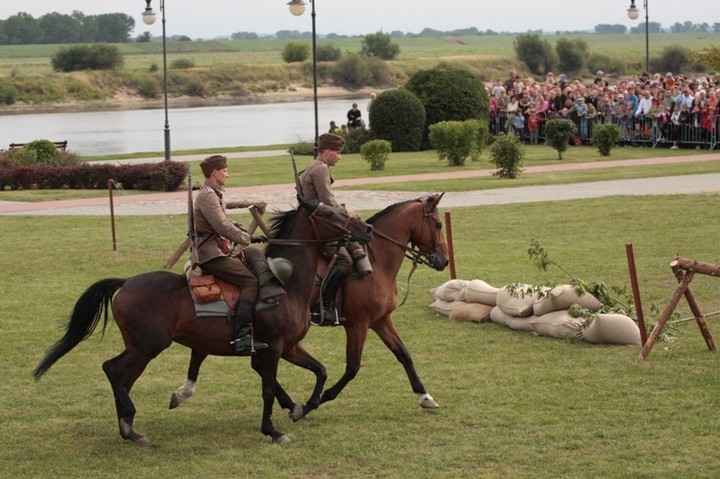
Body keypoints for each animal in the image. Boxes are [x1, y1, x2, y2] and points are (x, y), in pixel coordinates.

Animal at [33, 199, 372, 446]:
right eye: (330, 212)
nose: (367, 229)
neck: (286, 284)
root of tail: (127, 282)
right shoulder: (274, 347)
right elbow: (267, 389)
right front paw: (273, 430)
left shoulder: (288, 346)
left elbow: (320, 371)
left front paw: (304, 406)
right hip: (147, 346)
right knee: (112, 370)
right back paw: (129, 424)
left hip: (141, 349)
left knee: (122, 379)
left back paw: (129, 429)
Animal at [169, 194, 450, 420]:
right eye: (438, 224)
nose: (444, 260)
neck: (377, 260)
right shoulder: (358, 325)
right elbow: (352, 367)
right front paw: (320, 398)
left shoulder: (381, 320)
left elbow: (404, 355)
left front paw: (425, 396)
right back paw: (185, 391)